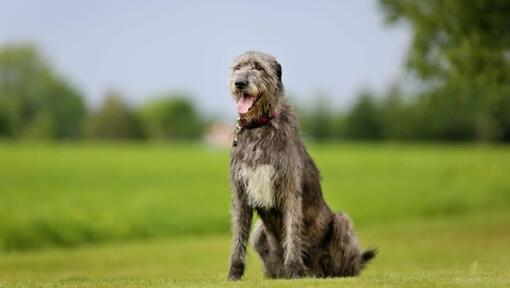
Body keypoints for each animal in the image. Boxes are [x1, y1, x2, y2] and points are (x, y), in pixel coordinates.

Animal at [227, 51, 374, 282]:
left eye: (258, 67)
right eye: (237, 68)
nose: (239, 83)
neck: (260, 126)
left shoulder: (289, 188)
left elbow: (292, 231)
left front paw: (294, 270)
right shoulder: (241, 192)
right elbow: (238, 236)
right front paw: (234, 274)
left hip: (342, 222)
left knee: (347, 261)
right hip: (259, 234)